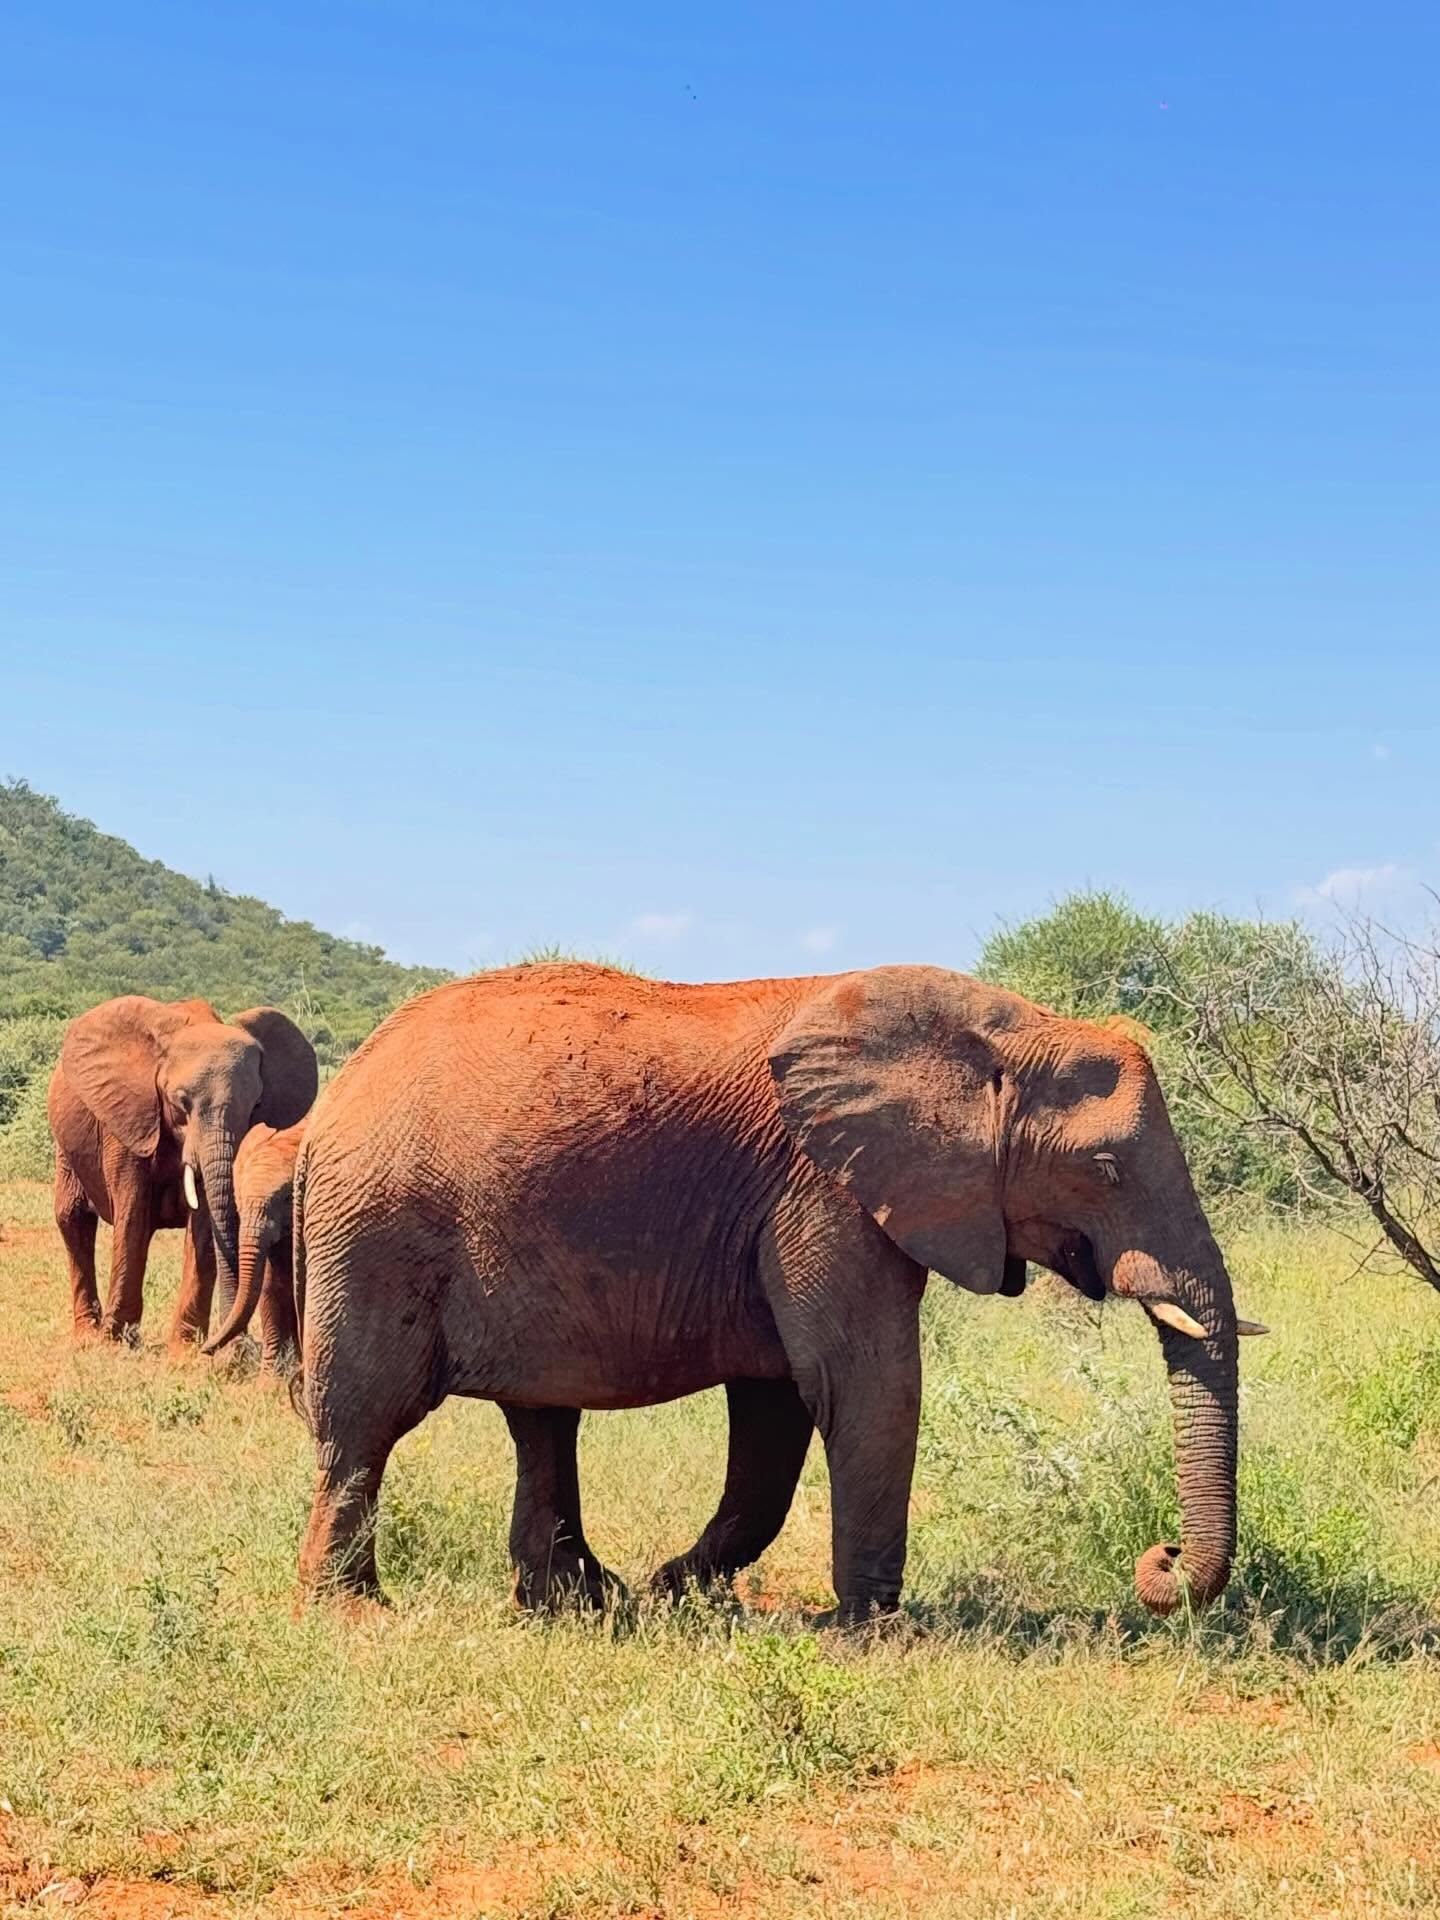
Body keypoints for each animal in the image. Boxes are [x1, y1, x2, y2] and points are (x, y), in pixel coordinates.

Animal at [48, 996, 317, 1351]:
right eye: (181, 1101)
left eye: (256, 1105)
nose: (233, 1347)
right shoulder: (129, 1119)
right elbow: (132, 1214)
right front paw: (116, 1342)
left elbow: (203, 1226)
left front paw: (186, 1348)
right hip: (66, 1147)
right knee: (73, 1219)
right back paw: (89, 1335)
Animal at [293, 963, 1264, 1621]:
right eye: (1104, 1168)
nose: (1161, 1556)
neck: (1003, 1026)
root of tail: (337, 1094)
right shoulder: (824, 1190)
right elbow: (865, 1385)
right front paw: (874, 1632)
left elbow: (779, 1408)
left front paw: (674, 1592)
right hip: (376, 1230)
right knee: (365, 1420)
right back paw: (351, 1613)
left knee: (540, 1421)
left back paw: (585, 1603)